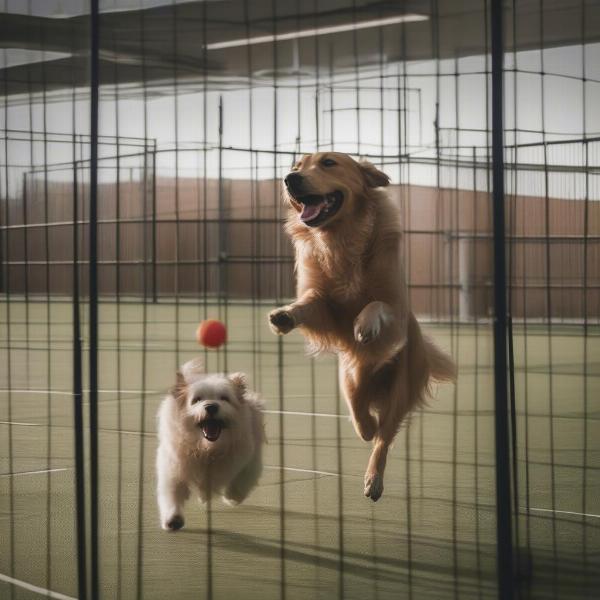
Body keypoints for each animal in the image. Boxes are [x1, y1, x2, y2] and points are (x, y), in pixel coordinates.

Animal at [156, 356, 264, 528]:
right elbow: (172, 493)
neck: (207, 448)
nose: (211, 406)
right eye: (196, 399)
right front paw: (173, 519)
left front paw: (232, 497)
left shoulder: (248, 461)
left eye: (224, 398)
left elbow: (241, 481)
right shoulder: (173, 469)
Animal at [268, 151, 454, 502]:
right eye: (297, 166)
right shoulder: (326, 308)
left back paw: (374, 480)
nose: (289, 178)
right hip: (350, 379)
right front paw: (285, 314)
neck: (340, 237)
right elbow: (309, 302)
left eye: (328, 162)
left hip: (400, 388)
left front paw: (365, 325)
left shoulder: (396, 309)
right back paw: (366, 424)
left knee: (383, 437)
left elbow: (377, 305)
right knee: (362, 417)